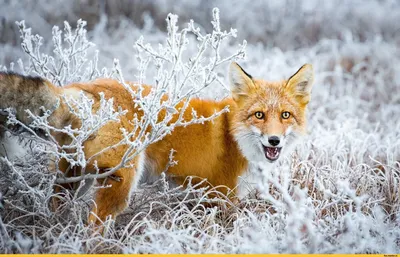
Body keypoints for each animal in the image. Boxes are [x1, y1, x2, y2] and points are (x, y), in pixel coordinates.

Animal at [0, 63, 314, 223]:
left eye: (285, 115)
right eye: (259, 115)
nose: (274, 140)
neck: (233, 135)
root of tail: (84, 88)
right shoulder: (219, 196)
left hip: (75, 176)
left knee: (55, 205)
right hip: (120, 182)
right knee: (95, 224)